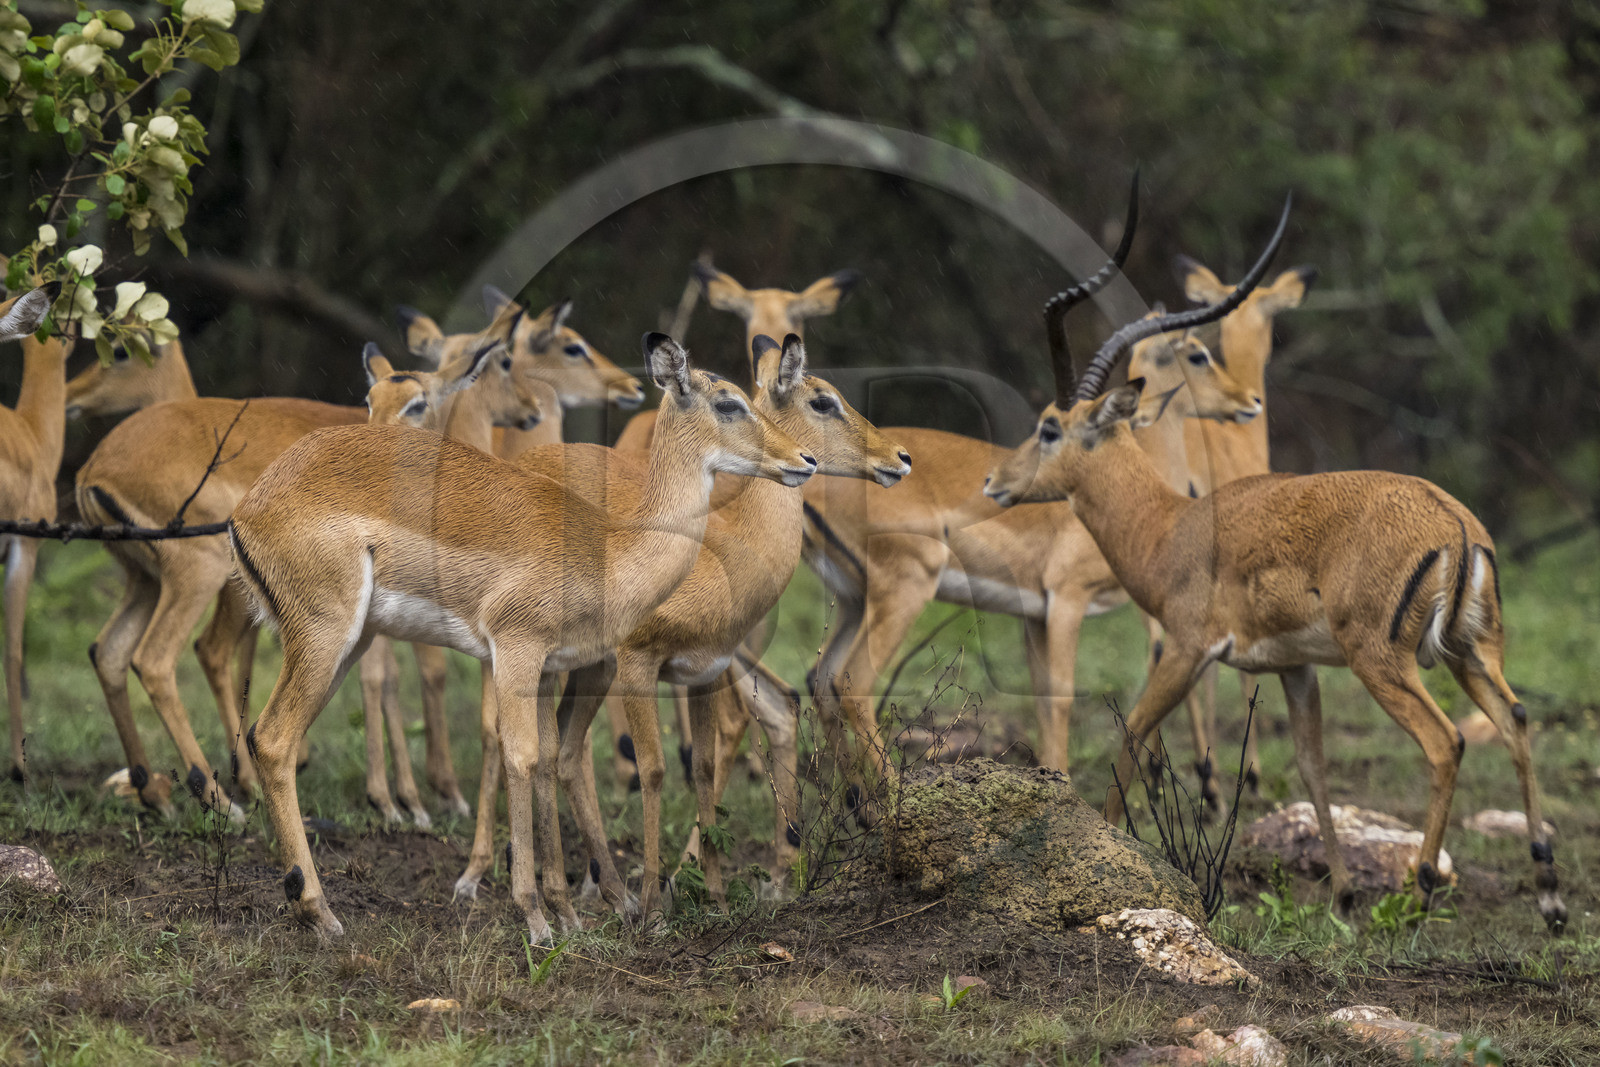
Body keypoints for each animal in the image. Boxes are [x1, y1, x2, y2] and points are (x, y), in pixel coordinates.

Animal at [229, 333, 817, 943]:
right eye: (729, 403)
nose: (805, 460)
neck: (610, 547)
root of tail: (250, 505)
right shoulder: (516, 651)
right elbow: (523, 756)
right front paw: (537, 919)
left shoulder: (549, 666)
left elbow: (551, 756)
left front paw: (569, 914)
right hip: (325, 636)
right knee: (273, 738)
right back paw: (321, 911)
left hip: (351, 642)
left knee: (273, 737)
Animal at [453, 333, 909, 920]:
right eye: (822, 400)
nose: (899, 457)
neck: (725, 544)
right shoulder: (637, 661)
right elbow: (653, 767)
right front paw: (655, 899)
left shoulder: (704, 670)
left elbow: (703, 767)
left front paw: (709, 895)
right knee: (514, 738)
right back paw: (487, 877)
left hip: (581, 668)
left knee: (566, 752)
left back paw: (598, 885)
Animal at [797, 182, 1261, 792]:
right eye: (1199, 353)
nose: (1249, 401)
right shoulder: (1066, 600)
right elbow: (1061, 698)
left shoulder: (1034, 614)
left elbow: (1042, 701)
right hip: (907, 585)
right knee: (852, 684)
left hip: (854, 595)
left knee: (818, 679)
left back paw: (855, 803)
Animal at [983, 200, 1566, 931]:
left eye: (1049, 427)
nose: (995, 482)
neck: (1170, 526)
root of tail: (1455, 524)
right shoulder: (1295, 667)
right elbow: (1313, 766)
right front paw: (1342, 894)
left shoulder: (1188, 649)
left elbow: (1134, 735)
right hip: (1472, 653)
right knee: (1515, 720)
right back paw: (1549, 897)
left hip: (1383, 661)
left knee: (1446, 742)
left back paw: (1419, 893)